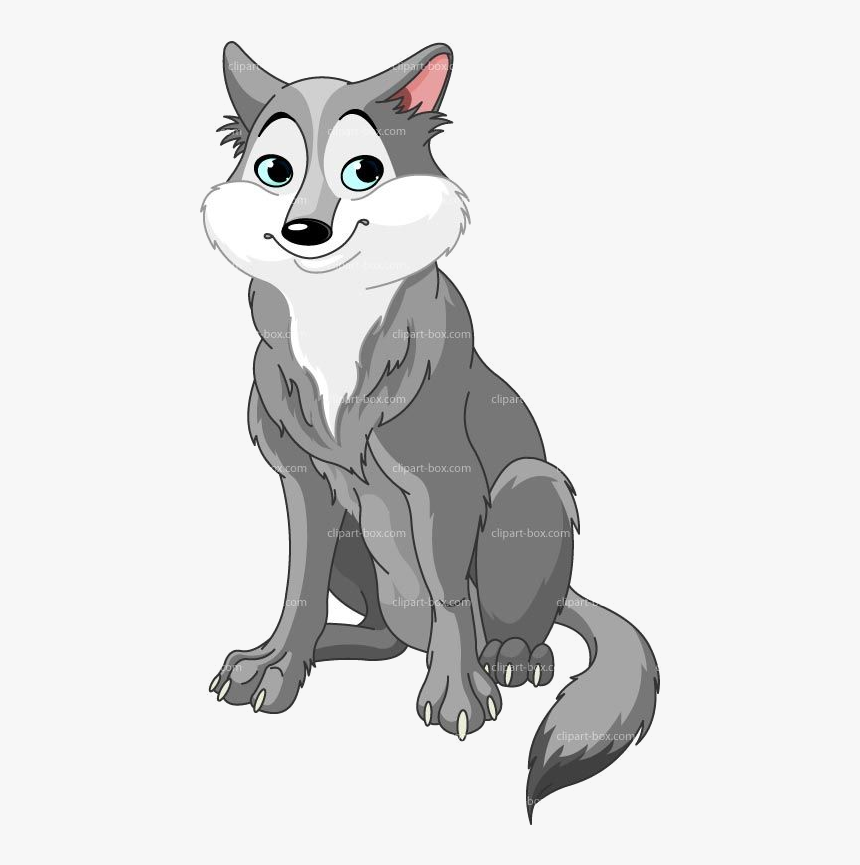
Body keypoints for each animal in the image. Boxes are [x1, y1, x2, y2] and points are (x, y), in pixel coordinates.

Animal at [202, 42, 659, 820]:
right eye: (274, 170)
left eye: (363, 171)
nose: (304, 231)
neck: (334, 320)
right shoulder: (303, 485)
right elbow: (298, 584)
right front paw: (279, 665)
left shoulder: (444, 486)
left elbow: (450, 595)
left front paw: (457, 691)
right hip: (359, 547)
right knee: (384, 636)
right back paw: (338, 643)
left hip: (530, 488)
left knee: (506, 620)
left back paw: (510, 656)